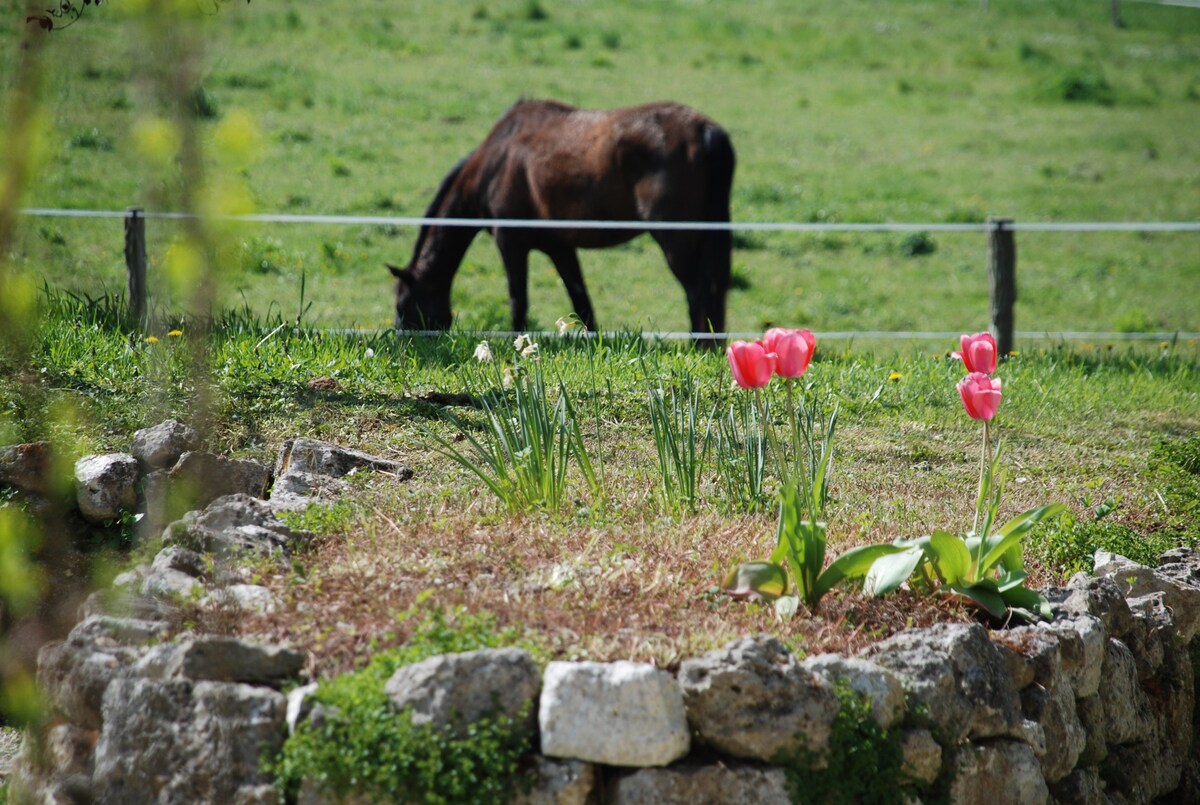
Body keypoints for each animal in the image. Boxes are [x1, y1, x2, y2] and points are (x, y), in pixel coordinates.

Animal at [388, 98, 734, 338]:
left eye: (403, 306)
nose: (404, 340)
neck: (495, 161)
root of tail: (705, 131)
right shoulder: (560, 247)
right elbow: (582, 303)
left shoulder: (510, 243)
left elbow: (518, 301)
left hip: (675, 239)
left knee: (698, 292)